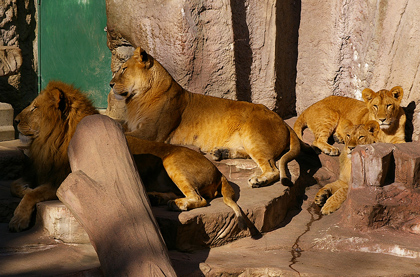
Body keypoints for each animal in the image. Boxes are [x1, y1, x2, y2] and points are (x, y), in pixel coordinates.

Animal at [9, 80, 98, 231]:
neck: (49, 143)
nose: (15, 121)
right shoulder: (40, 171)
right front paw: (25, 188)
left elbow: (33, 194)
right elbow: (13, 185)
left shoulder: (62, 183)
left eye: (35, 108)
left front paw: (18, 219)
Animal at [110, 47, 310, 188]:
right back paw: (222, 152)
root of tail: (283, 121)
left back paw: (258, 181)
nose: (110, 84)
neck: (138, 99)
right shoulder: (134, 125)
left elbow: (126, 134)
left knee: (272, 168)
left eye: (124, 69)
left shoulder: (152, 132)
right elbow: (118, 124)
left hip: (254, 135)